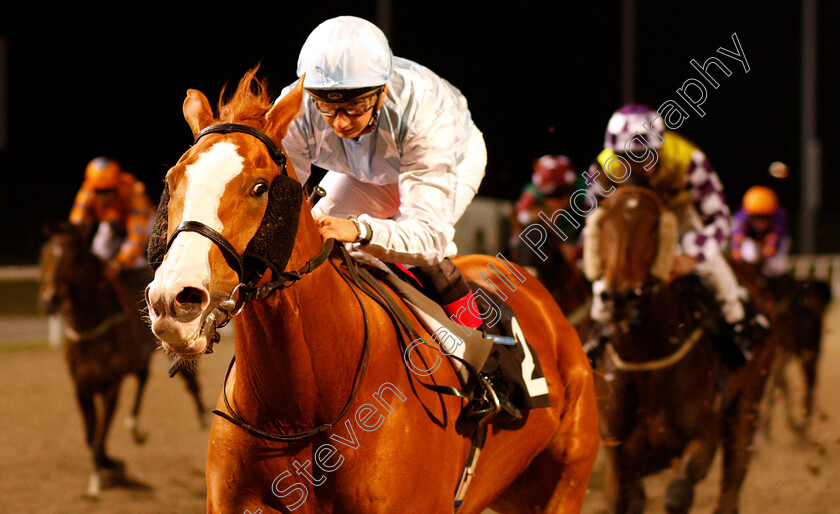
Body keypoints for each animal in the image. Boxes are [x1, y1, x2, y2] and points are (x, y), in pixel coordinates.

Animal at [38, 219, 210, 492]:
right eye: (45, 253)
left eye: (75, 257)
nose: (49, 300)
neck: (92, 326)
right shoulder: (81, 386)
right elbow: (91, 435)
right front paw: (110, 463)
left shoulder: (112, 386)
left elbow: (100, 435)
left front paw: (100, 477)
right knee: (143, 377)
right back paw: (135, 427)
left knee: (188, 380)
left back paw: (203, 416)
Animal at [584, 186, 776, 512]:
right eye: (604, 222)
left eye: (654, 225)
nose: (619, 297)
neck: (645, 358)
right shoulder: (619, 457)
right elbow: (624, 497)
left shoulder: (703, 436)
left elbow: (677, 495)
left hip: (748, 399)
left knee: (734, 469)